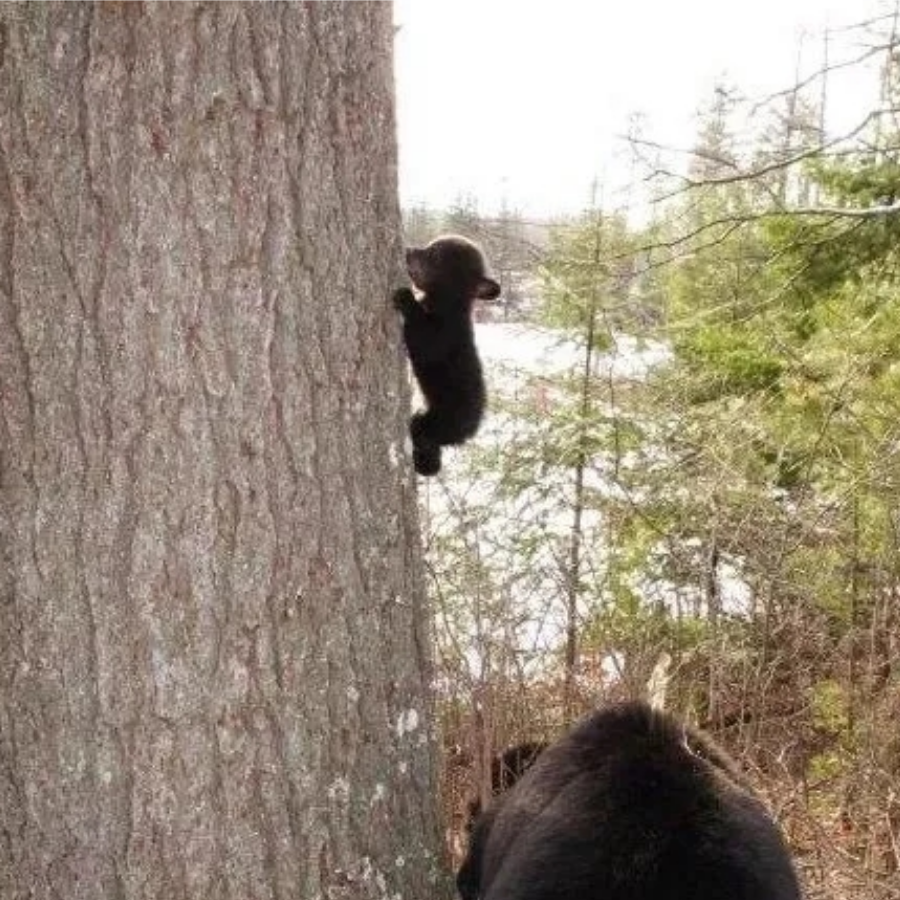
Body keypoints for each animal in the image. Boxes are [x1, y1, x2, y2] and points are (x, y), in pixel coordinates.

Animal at [392, 234, 500, 478]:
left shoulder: (442, 334)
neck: (446, 303)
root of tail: (472, 429)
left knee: (422, 432)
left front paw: (405, 297)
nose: (408, 249)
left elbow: (423, 337)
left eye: (434, 254)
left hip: (443, 421)